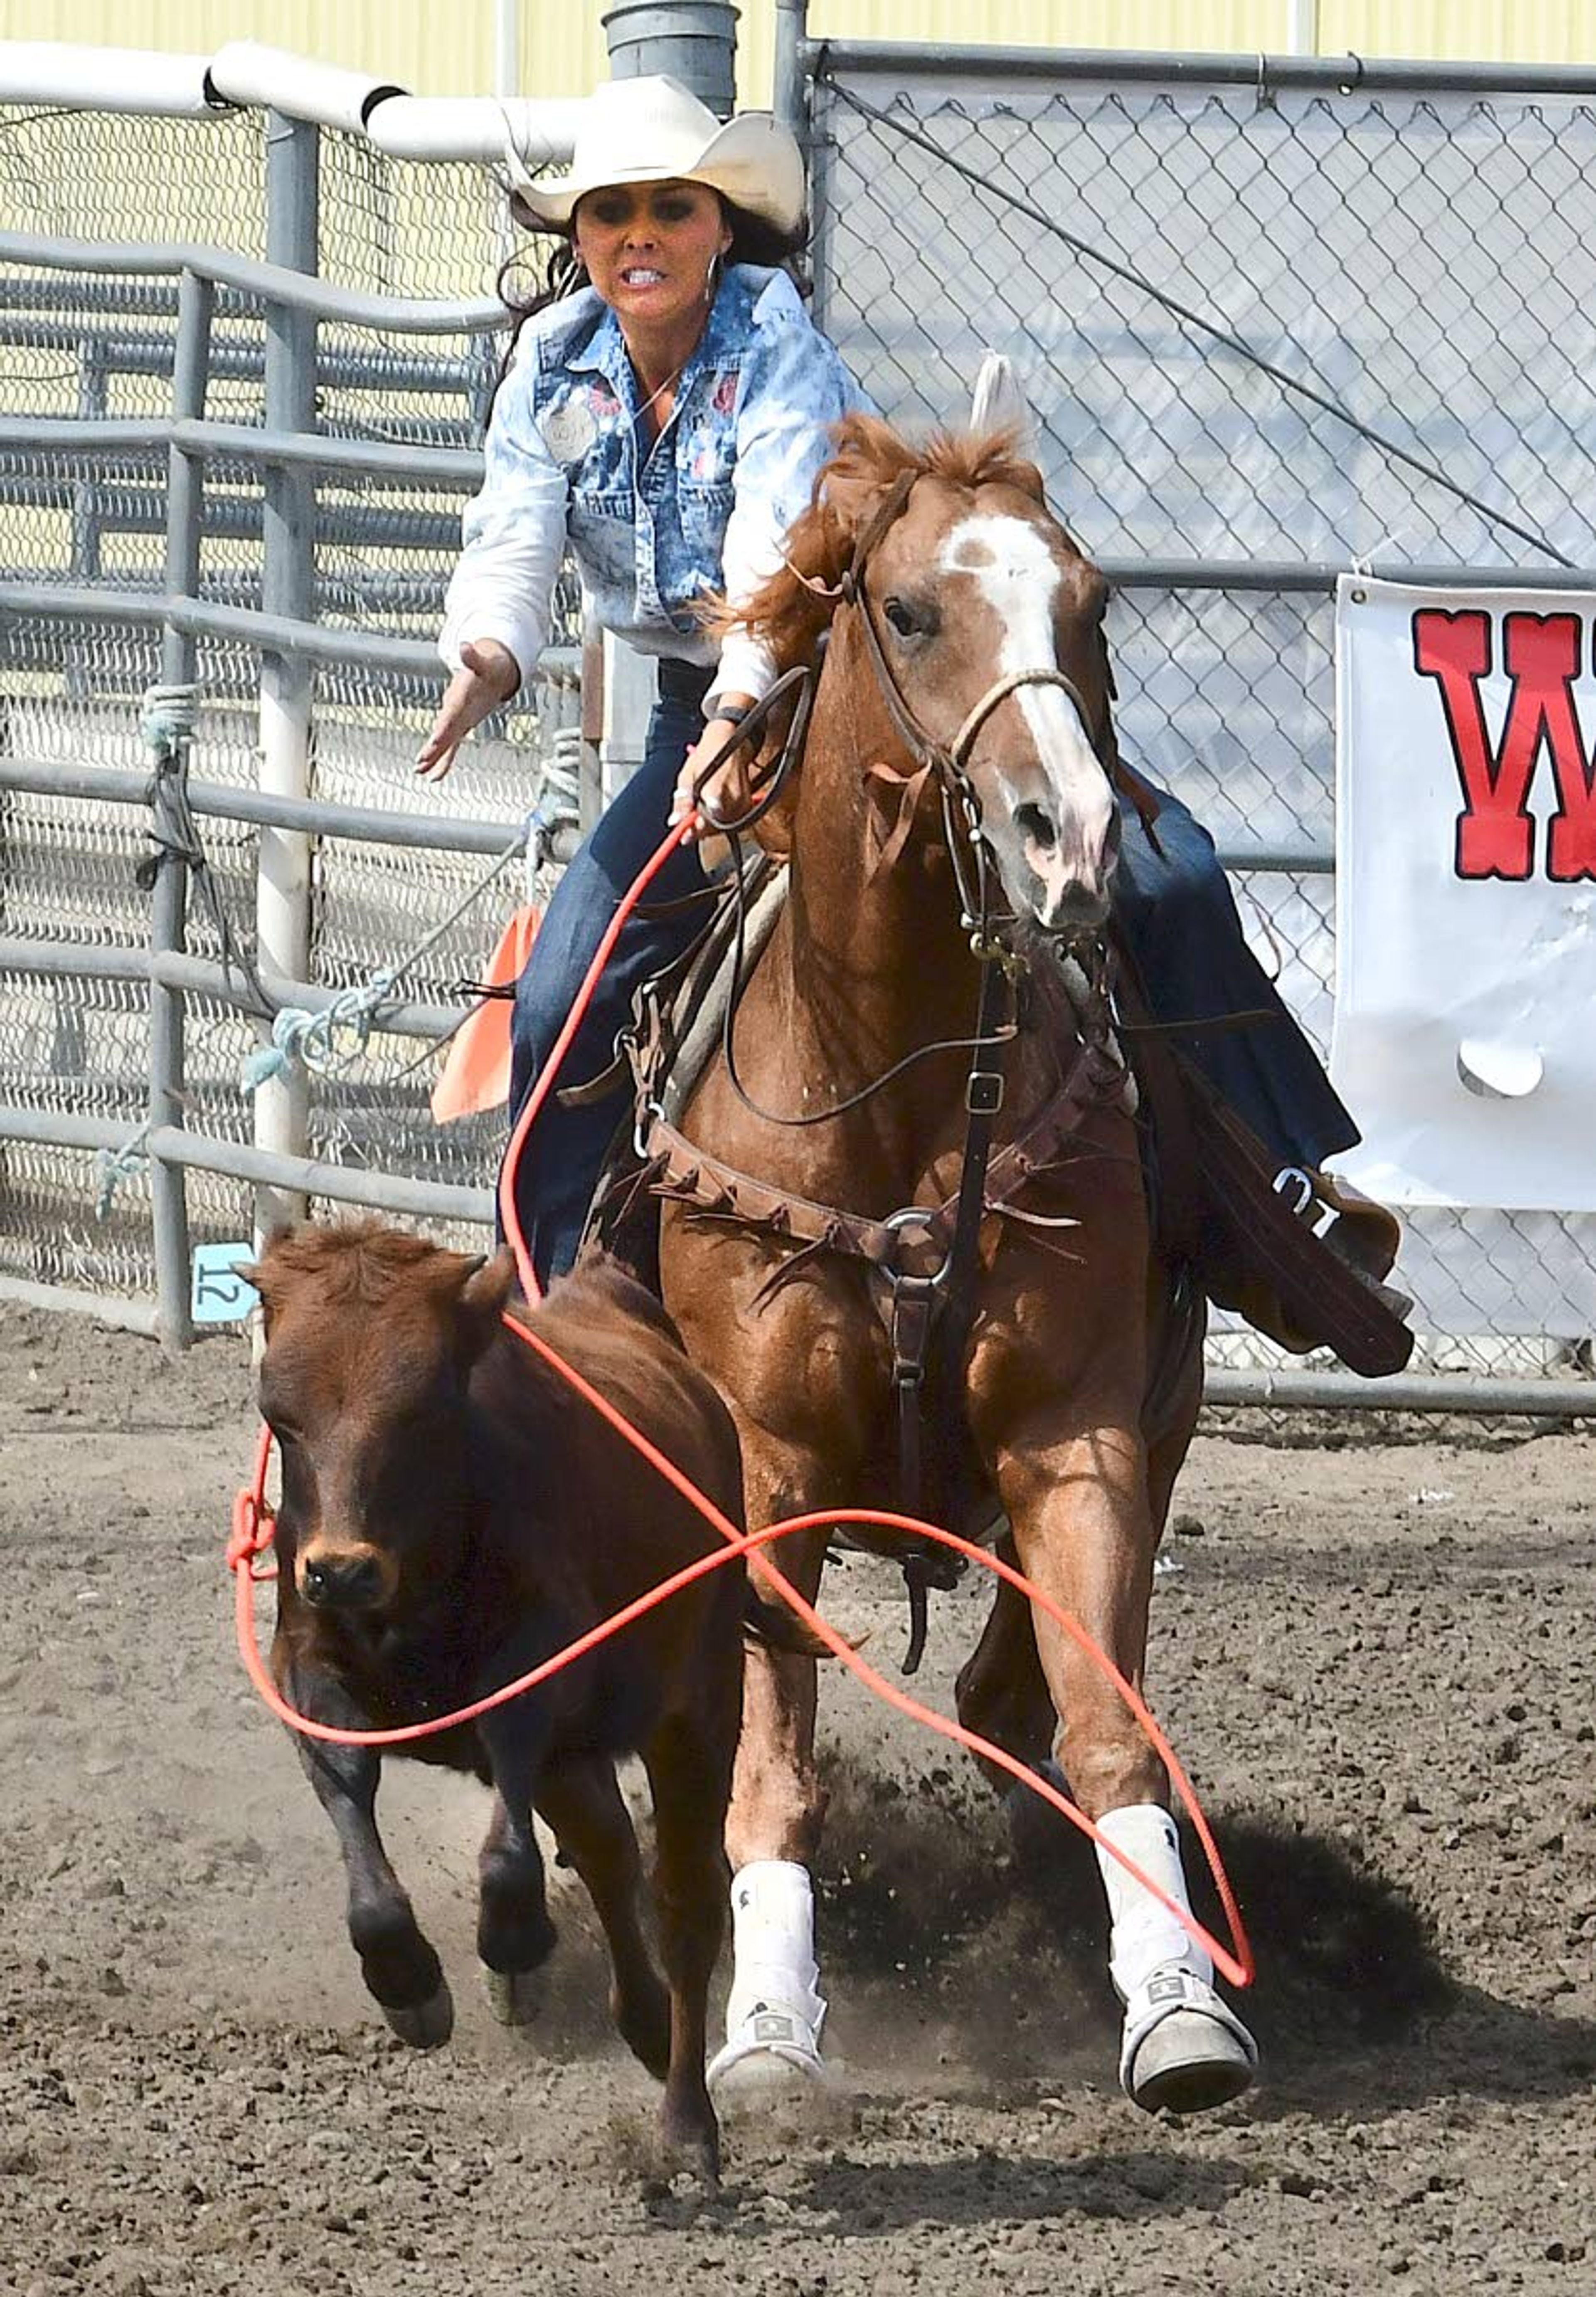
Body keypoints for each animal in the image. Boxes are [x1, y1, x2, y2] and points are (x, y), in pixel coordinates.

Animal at [246, 1222, 753, 2168]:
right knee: (609, 1853)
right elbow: (353, 1801)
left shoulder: (539, 1671)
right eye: (281, 1419)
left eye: (420, 1409)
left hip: (699, 1704)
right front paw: (407, 1981)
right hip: (583, 1759)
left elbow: (508, 1847)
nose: (343, 1570)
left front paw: (514, 1949)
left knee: (684, 1902)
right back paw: (639, 2021)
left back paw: (687, 2123)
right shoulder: (307, 1662)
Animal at [657, 418, 1258, 2113]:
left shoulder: (1080, 1435)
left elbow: (1105, 1727)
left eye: (1093, 606)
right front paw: (767, 2029)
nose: (1070, 837)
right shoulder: (770, 1465)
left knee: (1008, 1697)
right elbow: (772, 1767)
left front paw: (1176, 2004)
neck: (896, 1089)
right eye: (911, 611)